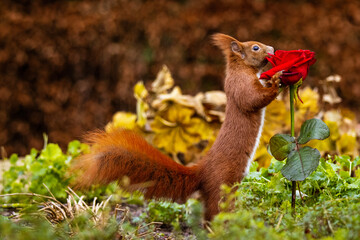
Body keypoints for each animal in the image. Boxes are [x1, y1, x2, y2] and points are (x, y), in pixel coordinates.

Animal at [73, 33, 282, 221]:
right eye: (255, 47)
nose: (272, 48)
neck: (240, 68)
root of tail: (202, 172)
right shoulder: (240, 84)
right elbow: (252, 99)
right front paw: (276, 81)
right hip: (225, 183)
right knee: (217, 209)